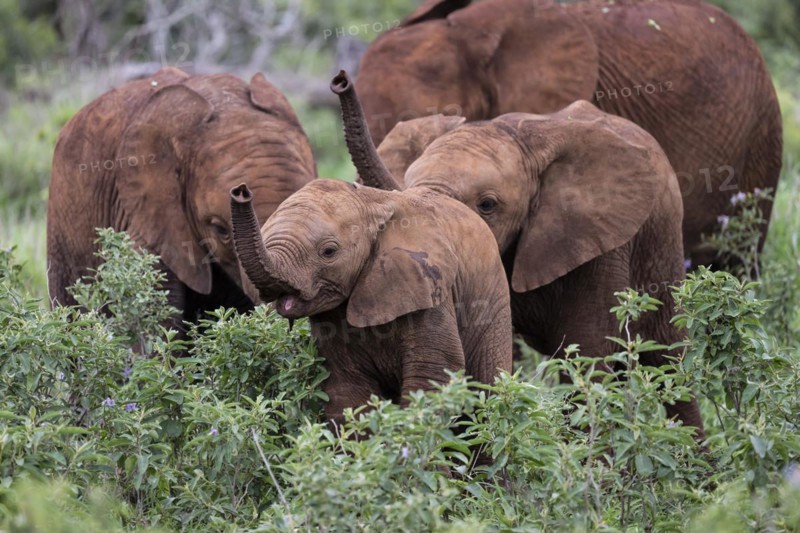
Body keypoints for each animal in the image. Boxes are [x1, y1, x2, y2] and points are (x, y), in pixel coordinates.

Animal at [228, 176, 513, 422]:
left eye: (328, 252)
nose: (240, 190)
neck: (371, 202)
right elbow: (347, 390)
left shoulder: (430, 287)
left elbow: (431, 375)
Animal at [331, 70, 705, 437]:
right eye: (405, 189)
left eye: (487, 205)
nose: (340, 80)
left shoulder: (600, 243)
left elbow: (588, 354)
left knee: (666, 355)